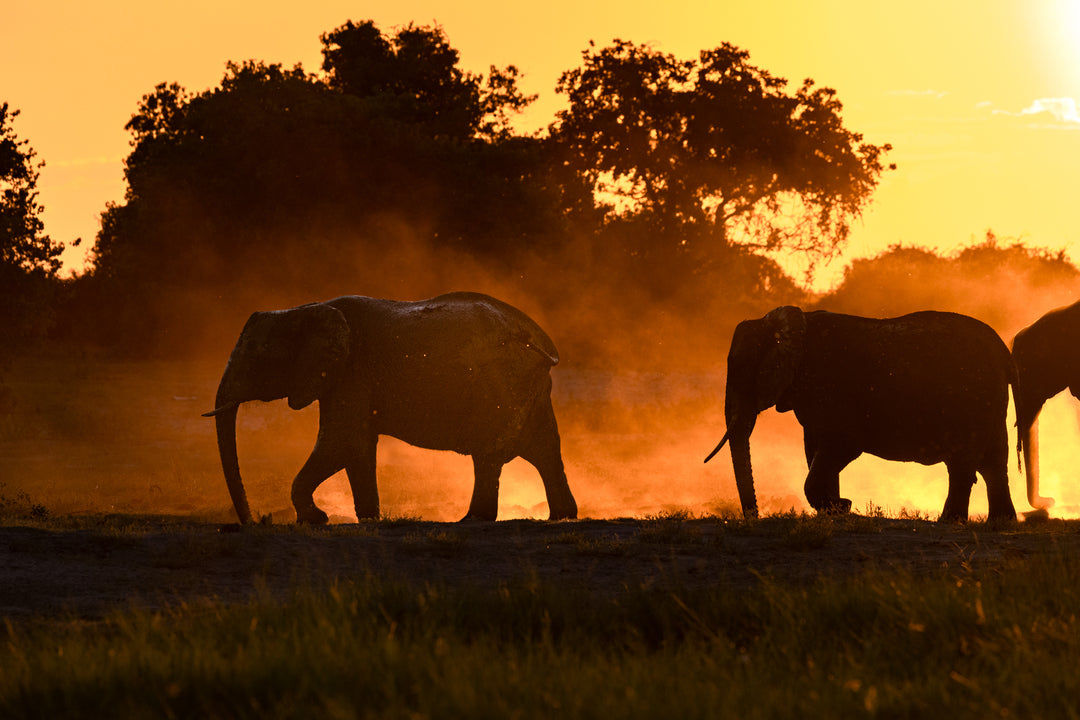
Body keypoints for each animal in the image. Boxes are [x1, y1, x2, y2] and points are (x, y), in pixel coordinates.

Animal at [199, 291, 578, 524]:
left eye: (256, 359)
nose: (254, 520)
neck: (304, 310)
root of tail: (539, 340)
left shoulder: (352, 373)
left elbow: (342, 443)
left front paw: (315, 519)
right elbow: (357, 448)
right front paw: (369, 518)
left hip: (500, 383)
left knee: (489, 455)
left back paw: (473, 519)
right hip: (530, 388)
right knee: (545, 451)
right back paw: (562, 516)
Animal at [704, 306, 1015, 520]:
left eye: (746, 373)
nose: (754, 517)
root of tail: (1004, 351)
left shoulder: (832, 385)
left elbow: (840, 446)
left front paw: (843, 507)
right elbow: (814, 448)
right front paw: (836, 510)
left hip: (973, 398)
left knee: (963, 464)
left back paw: (950, 522)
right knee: (993, 463)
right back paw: (999, 523)